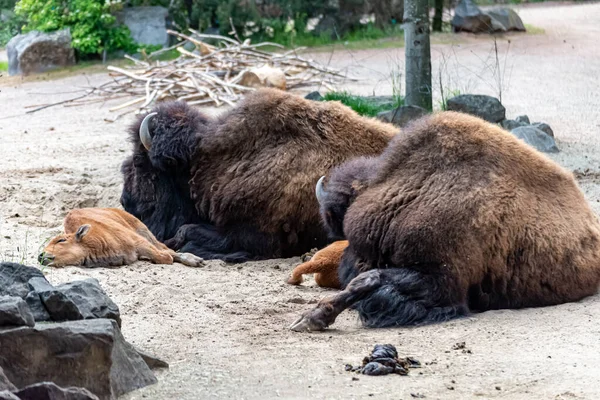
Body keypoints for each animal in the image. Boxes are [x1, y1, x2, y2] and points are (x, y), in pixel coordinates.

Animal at [39, 208, 205, 268]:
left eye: (61, 240)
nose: (41, 255)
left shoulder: (140, 242)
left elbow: (164, 257)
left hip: (143, 230)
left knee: (167, 249)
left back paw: (195, 260)